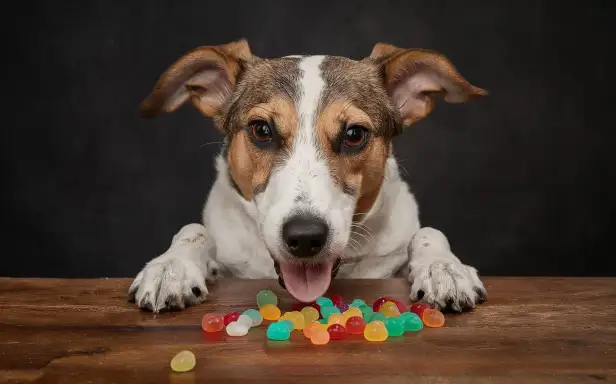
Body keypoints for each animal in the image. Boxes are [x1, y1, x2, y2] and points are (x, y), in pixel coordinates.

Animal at [127, 39, 488, 314]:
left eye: (354, 134)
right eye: (262, 130)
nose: (304, 237)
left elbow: (428, 232)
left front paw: (444, 268)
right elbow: (194, 230)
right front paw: (171, 267)